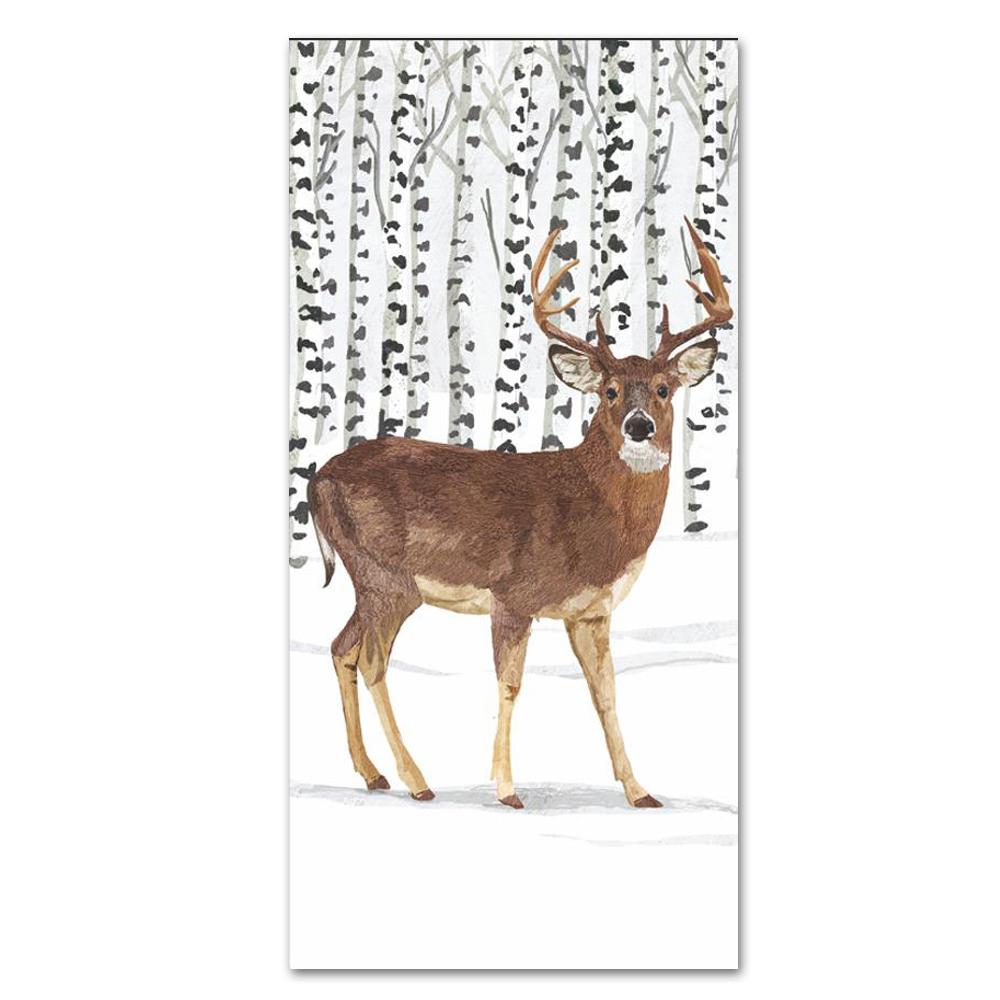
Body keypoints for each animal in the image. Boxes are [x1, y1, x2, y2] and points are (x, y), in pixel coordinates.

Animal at [307, 218, 732, 809]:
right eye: (610, 391)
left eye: (665, 389)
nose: (640, 425)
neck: (595, 516)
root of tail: (317, 479)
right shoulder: (513, 594)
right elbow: (510, 684)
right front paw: (507, 789)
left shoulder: (591, 611)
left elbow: (606, 692)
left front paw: (640, 791)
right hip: (386, 576)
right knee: (370, 659)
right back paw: (417, 780)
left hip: (367, 580)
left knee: (340, 648)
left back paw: (373, 774)